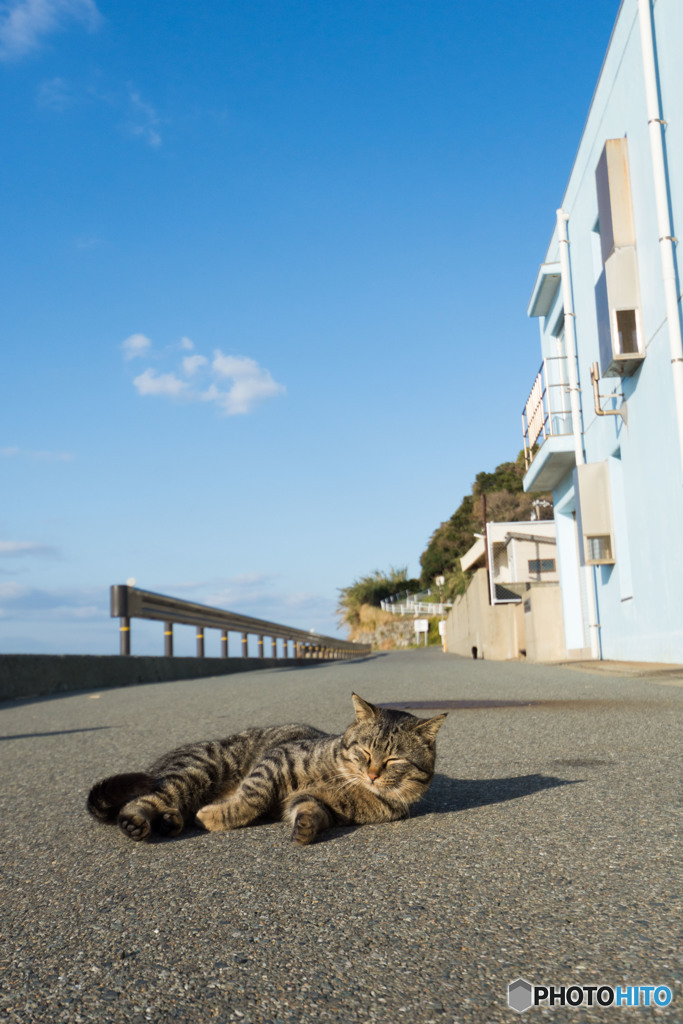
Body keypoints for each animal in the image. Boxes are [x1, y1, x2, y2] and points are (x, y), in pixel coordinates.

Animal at [87, 692, 448, 843]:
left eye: (393, 760)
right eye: (364, 752)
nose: (373, 775)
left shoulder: (319, 803)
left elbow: (310, 811)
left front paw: (305, 829)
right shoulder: (275, 761)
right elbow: (253, 798)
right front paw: (215, 817)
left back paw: (169, 821)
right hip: (197, 770)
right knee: (145, 800)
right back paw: (137, 822)